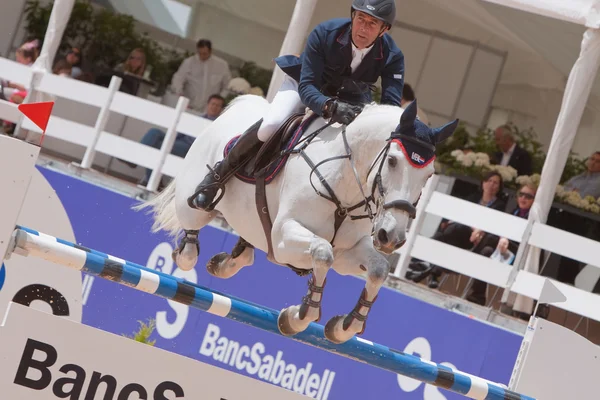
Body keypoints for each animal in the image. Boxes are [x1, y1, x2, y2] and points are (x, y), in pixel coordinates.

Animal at [138, 94, 458, 344]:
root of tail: (236, 108)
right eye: (392, 161)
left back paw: (226, 263)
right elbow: (323, 254)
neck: (344, 180)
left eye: (429, 176)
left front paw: (345, 326)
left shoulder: (349, 251)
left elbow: (378, 270)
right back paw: (189, 245)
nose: (391, 237)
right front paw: (298, 316)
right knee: (191, 239)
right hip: (194, 203)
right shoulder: (285, 238)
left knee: (246, 249)